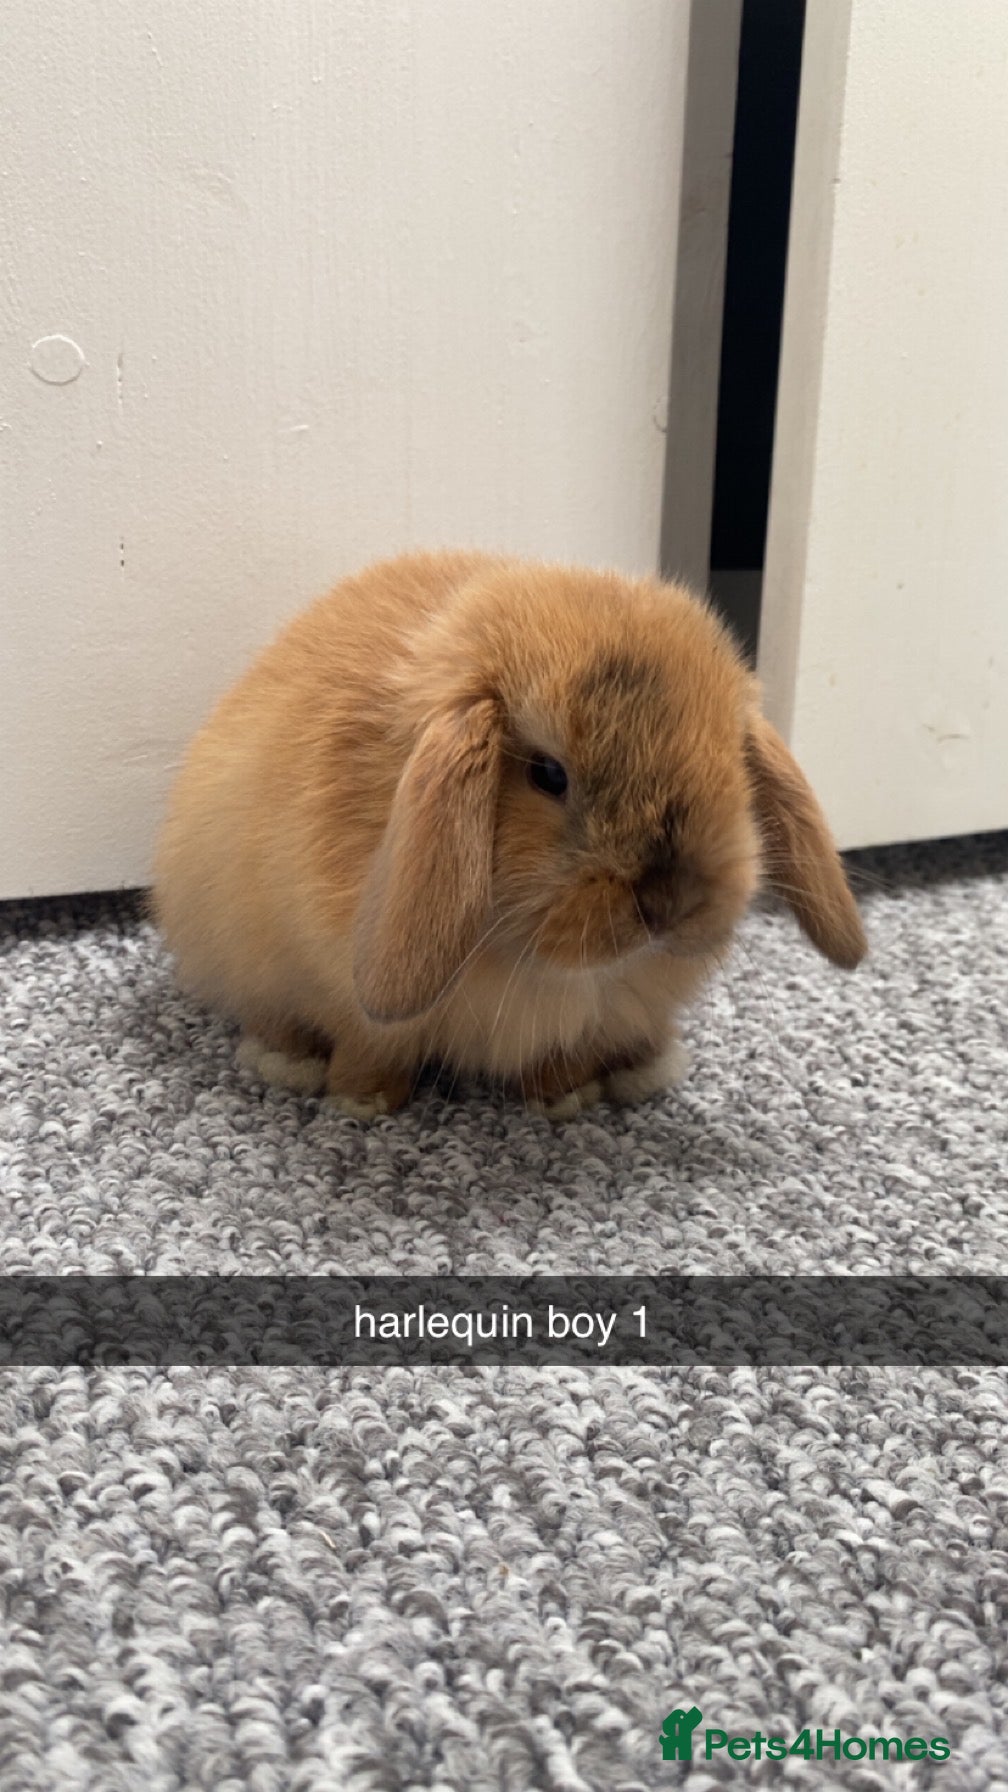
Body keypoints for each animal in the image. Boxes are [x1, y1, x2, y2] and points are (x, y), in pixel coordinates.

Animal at [151, 549, 866, 1118]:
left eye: (732, 763)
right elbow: (369, 1044)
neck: (543, 967)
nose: (670, 902)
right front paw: (362, 1102)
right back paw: (288, 1063)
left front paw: (566, 1097)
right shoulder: (342, 994)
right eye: (548, 773)